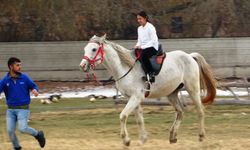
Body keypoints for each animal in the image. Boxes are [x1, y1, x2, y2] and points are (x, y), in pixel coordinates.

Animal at [79, 34, 216, 145]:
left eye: (94, 49)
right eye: (85, 49)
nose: (83, 66)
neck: (125, 68)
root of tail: (190, 56)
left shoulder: (135, 97)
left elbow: (123, 116)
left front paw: (126, 140)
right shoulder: (133, 98)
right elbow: (139, 119)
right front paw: (142, 139)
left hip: (193, 89)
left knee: (200, 111)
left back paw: (201, 136)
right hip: (172, 94)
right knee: (180, 112)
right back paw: (172, 137)